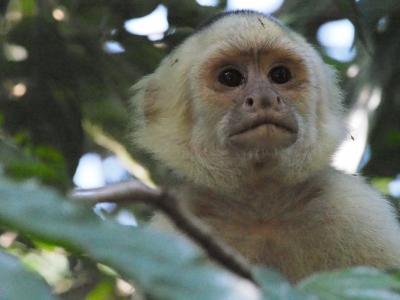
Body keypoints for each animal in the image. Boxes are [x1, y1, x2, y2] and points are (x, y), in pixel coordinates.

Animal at [133, 11, 400, 282]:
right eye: (230, 77)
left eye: (280, 75)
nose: (265, 98)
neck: (262, 211)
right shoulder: (169, 236)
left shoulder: (358, 211)